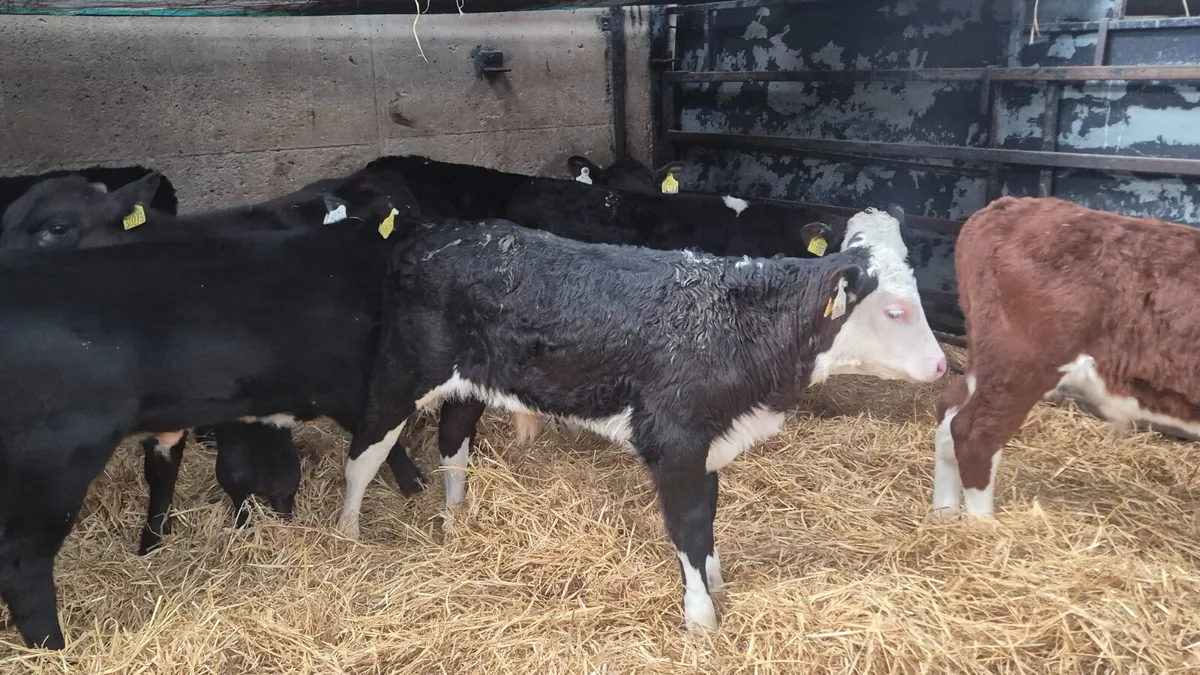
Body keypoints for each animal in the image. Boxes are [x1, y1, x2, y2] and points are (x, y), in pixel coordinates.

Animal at [0, 218, 431, 649]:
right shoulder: (356, 388)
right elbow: (381, 442)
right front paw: (416, 486)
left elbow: (162, 482)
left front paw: (152, 546)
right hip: (56, 463)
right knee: (22, 561)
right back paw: (54, 647)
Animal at [334, 208, 947, 632]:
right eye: (896, 311)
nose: (942, 364)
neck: (739, 327)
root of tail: (437, 232)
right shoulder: (675, 441)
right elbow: (689, 524)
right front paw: (701, 616)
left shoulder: (711, 441)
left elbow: (710, 514)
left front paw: (717, 583)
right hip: (402, 370)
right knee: (364, 451)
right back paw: (346, 536)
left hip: (471, 381)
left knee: (454, 440)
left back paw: (456, 520)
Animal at [932, 196, 1200, 518]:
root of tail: (1006, 206)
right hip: (1021, 365)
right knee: (975, 434)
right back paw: (983, 524)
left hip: (986, 362)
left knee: (949, 410)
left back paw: (944, 513)